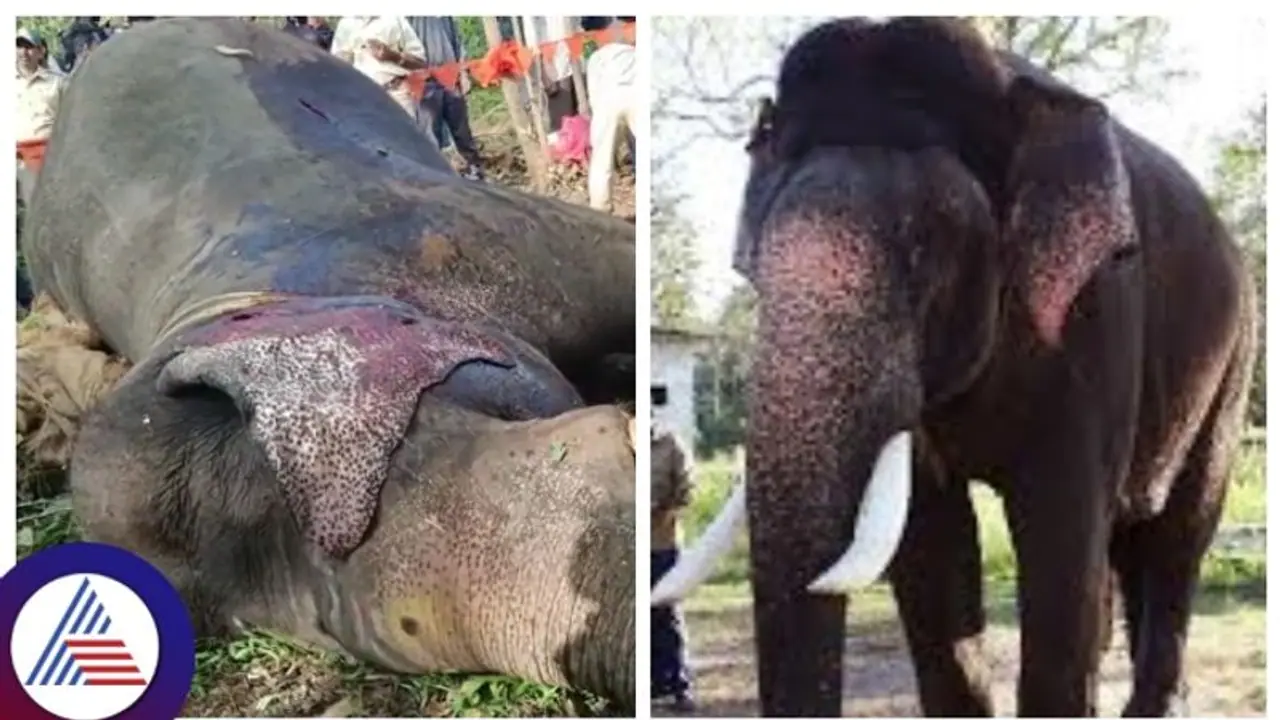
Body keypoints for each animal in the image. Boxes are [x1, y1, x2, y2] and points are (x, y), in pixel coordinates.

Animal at [651, 17, 1257, 718]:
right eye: (754, 268)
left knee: (1178, 535)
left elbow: (1061, 532)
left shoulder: (1095, 312)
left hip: (1235, 360)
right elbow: (931, 546)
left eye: (923, 254)